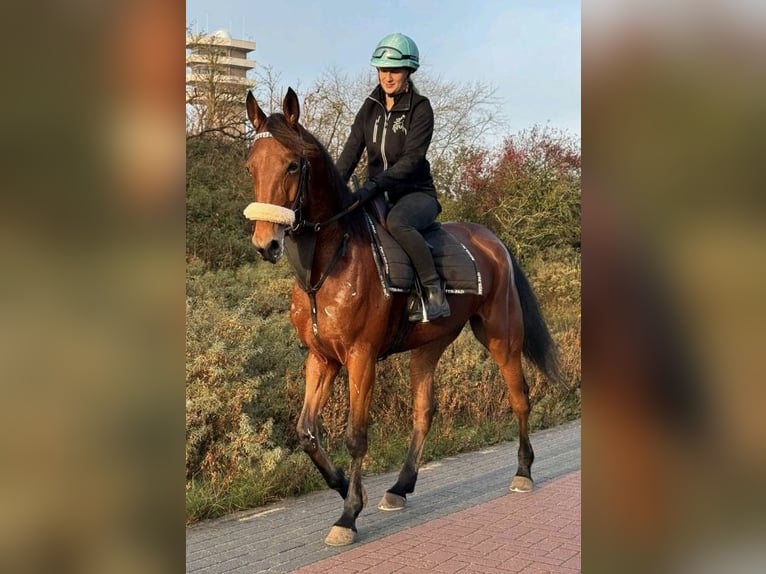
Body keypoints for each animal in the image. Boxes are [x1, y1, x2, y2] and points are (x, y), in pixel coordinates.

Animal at [243, 88, 562, 546]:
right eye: (251, 165)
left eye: (292, 164)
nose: (265, 243)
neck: (328, 265)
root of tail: (493, 240)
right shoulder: (321, 358)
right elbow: (306, 431)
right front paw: (345, 486)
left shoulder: (360, 357)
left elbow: (356, 436)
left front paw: (348, 514)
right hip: (429, 346)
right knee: (424, 410)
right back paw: (400, 486)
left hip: (502, 335)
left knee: (520, 397)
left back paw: (523, 472)